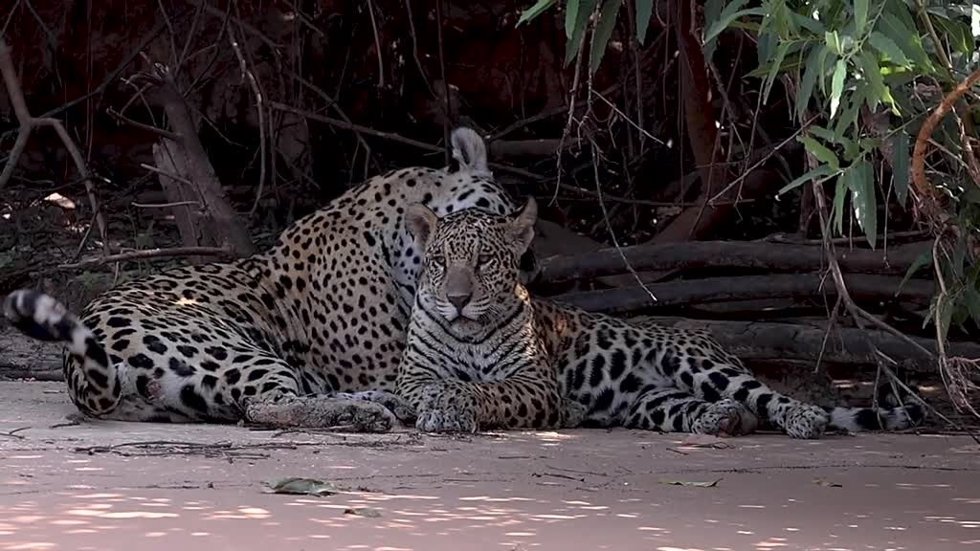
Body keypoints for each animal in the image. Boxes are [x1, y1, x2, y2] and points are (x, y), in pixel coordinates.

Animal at [3, 127, 522, 431]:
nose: (525, 273)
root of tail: (80, 377)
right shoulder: (394, 360)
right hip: (227, 346)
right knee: (264, 406)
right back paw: (366, 412)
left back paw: (381, 404)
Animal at [393, 197, 925, 439]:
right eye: (439, 261)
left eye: (484, 261)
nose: (458, 299)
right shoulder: (412, 377)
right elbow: (433, 385)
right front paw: (440, 402)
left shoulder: (533, 382)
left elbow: (486, 389)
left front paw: (451, 403)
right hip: (650, 400)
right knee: (726, 411)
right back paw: (718, 418)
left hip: (697, 363)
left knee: (764, 398)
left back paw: (802, 417)